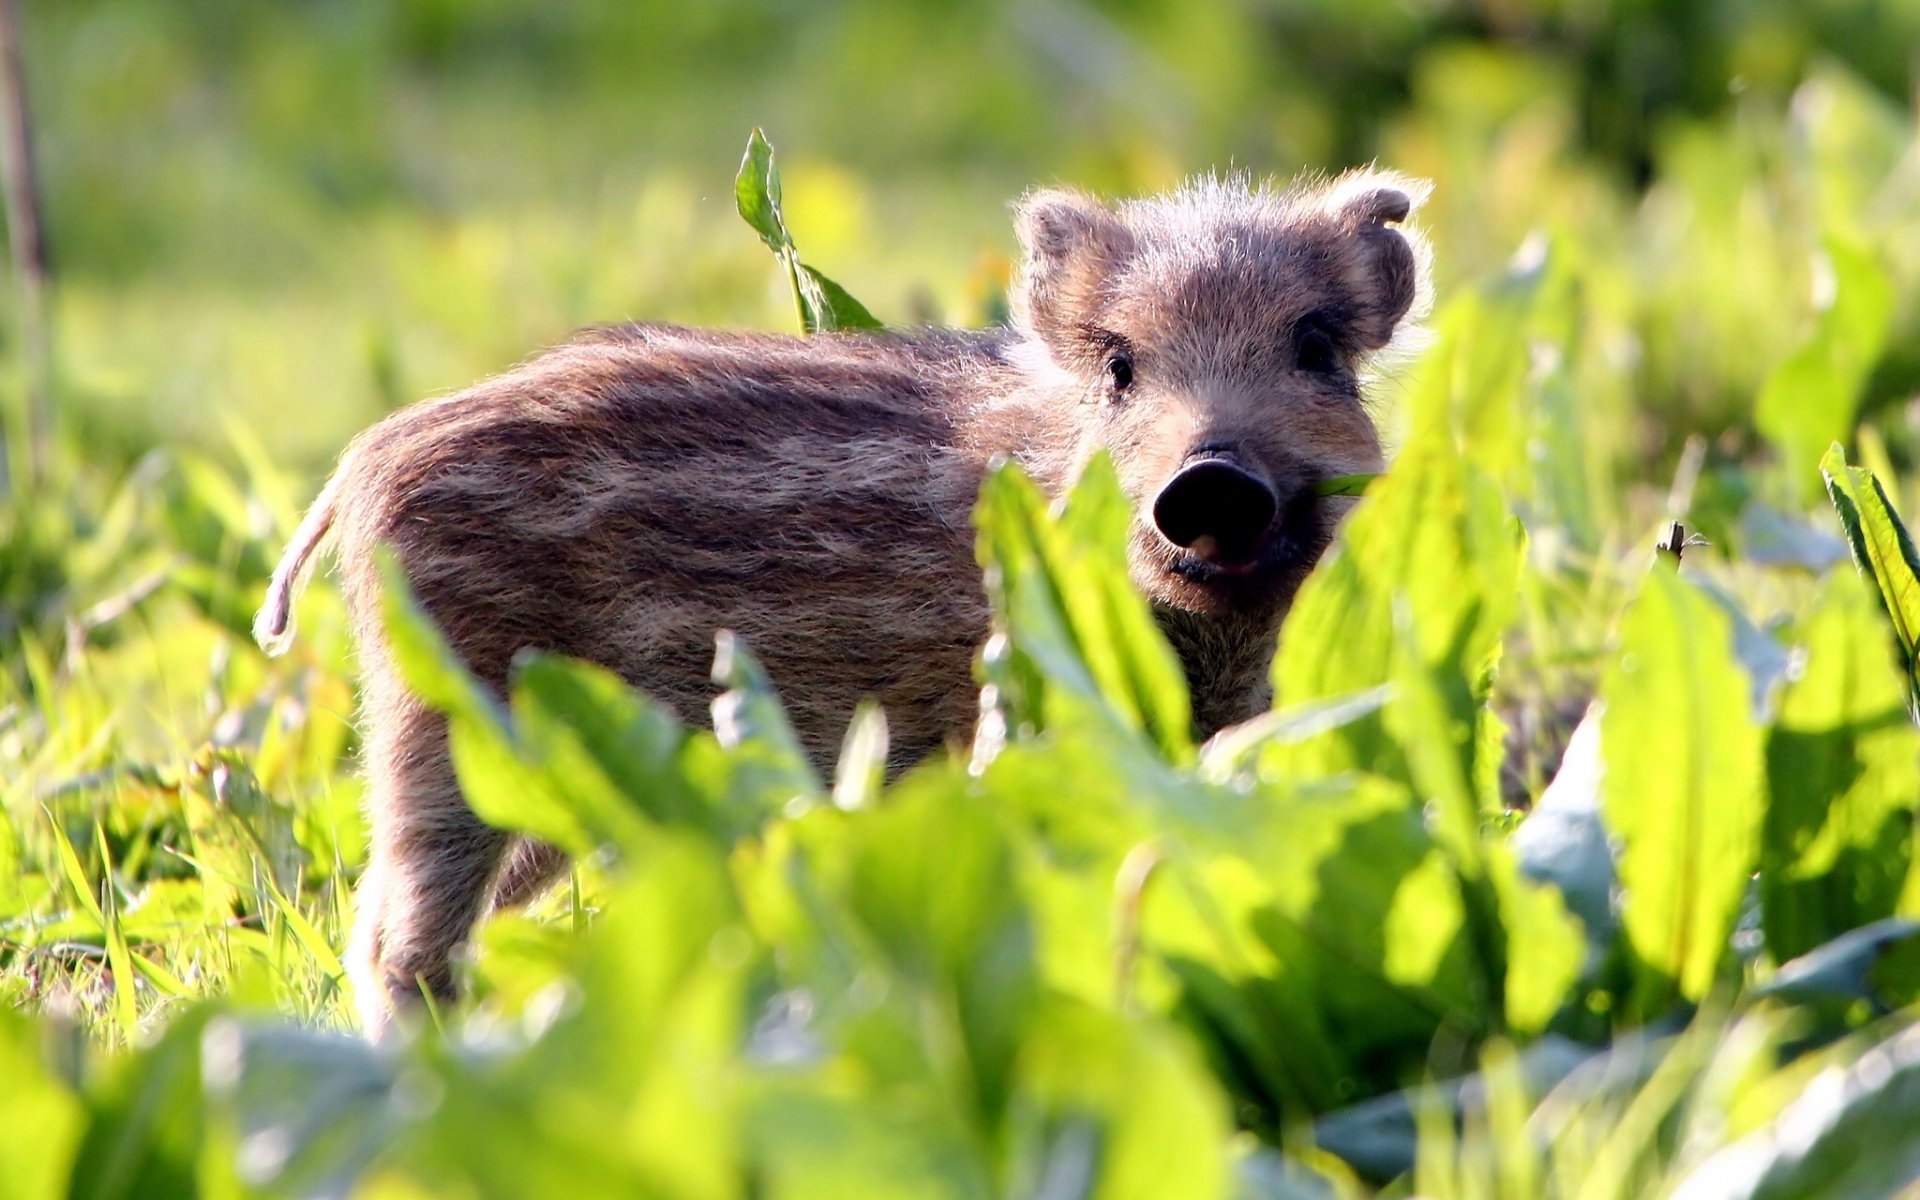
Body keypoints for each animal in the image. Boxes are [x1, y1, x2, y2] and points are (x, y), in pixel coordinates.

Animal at [255, 169, 1431, 1039]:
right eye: (1120, 366)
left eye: (1317, 349)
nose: (1212, 479)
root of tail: (367, 457)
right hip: (450, 721)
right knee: (397, 938)